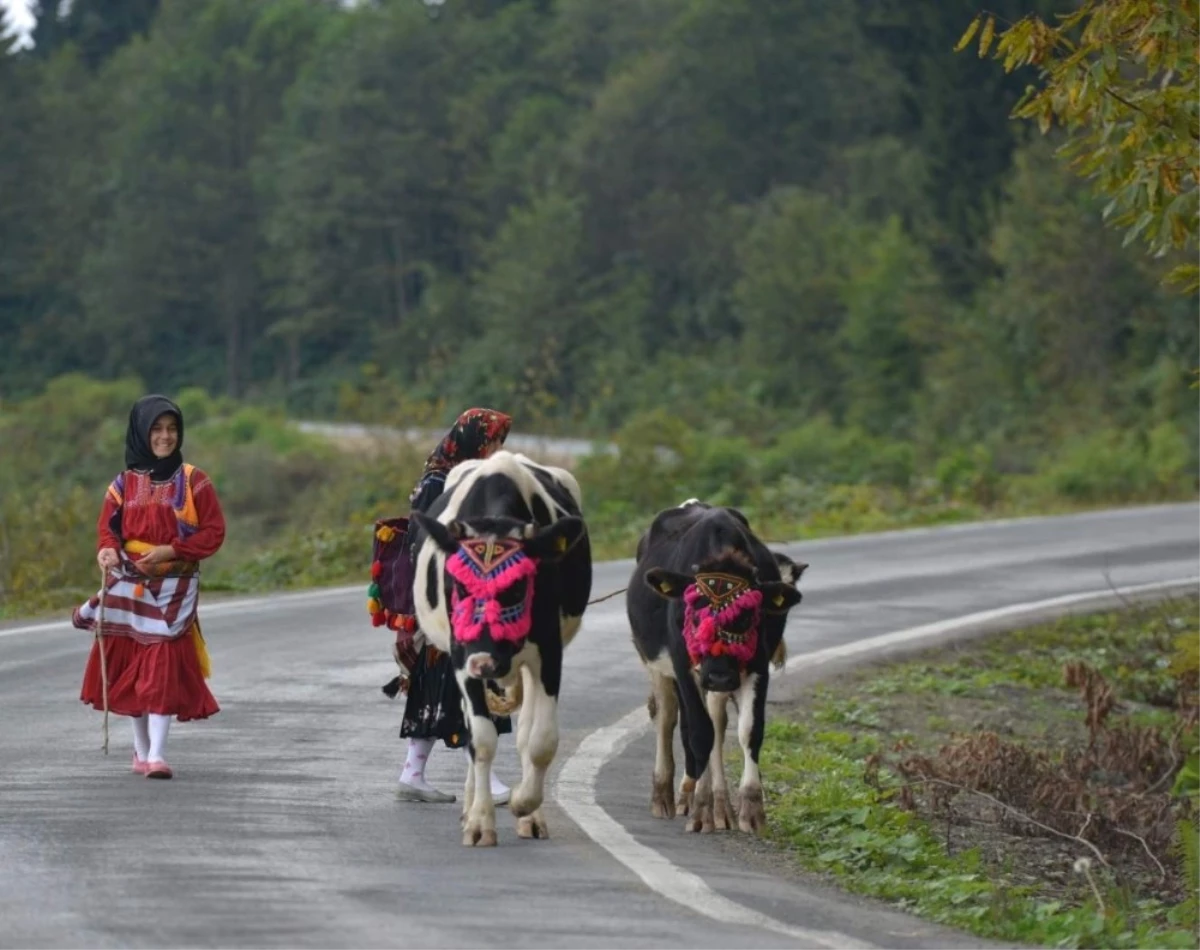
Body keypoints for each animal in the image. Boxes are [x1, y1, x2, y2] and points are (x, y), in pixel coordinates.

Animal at [408, 451, 590, 844]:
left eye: (518, 585)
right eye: (460, 584)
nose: (485, 664)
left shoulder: (549, 654)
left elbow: (540, 741)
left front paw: (525, 804)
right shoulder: (461, 655)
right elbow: (481, 739)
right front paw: (479, 821)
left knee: (524, 735)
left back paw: (530, 816)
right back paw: (470, 805)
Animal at [628, 501, 806, 834]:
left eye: (747, 616)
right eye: (696, 616)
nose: (720, 676)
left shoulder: (756, 665)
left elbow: (750, 730)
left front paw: (751, 808)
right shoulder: (684, 664)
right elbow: (700, 732)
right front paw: (702, 810)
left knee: (715, 723)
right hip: (655, 664)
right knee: (666, 717)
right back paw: (664, 795)